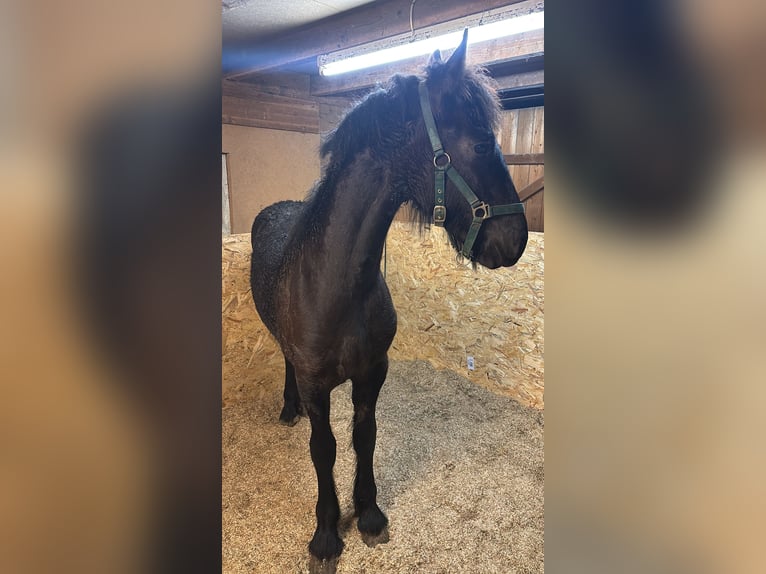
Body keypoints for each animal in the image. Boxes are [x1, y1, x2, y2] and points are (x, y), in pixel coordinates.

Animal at [249, 30, 528, 573]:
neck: (337, 286)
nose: (518, 239)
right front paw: (326, 535)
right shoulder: (317, 385)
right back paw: (288, 409)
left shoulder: (372, 373)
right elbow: (324, 449)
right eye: (481, 143)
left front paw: (370, 515)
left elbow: (365, 437)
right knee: (286, 364)